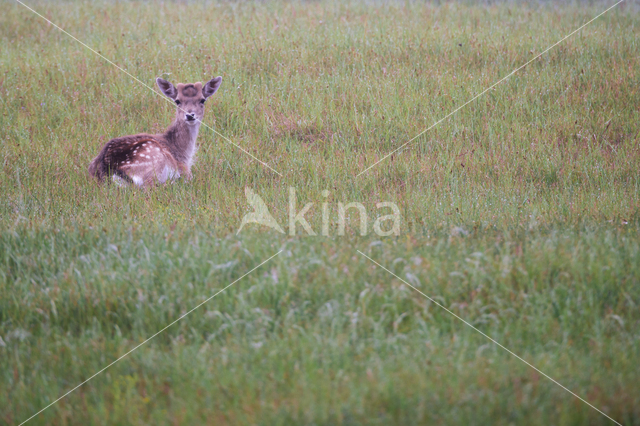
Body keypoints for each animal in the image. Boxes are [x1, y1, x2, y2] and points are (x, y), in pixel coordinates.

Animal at [87, 76, 222, 186]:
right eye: (177, 101)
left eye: (202, 100)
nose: (189, 115)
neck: (183, 152)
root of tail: (108, 171)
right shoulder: (185, 171)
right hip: (153, 158)